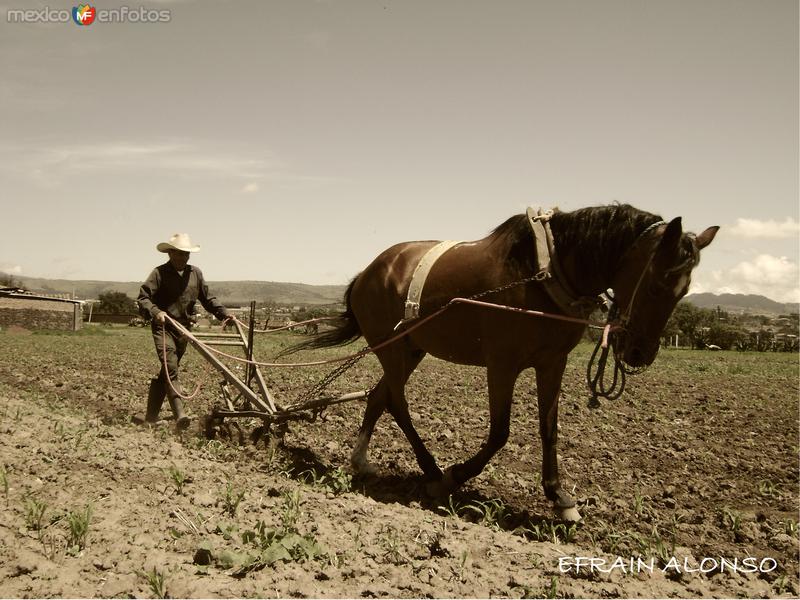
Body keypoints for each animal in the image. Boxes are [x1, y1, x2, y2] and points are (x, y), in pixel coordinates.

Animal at [288, 205, 720, 520]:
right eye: (658, 283)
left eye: (684, 290)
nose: (639, 353)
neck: (543, 273)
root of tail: (367, 272)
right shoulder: (502, 364)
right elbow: (499, 433)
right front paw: (451, 479)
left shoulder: (552, 363)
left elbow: (549, 429)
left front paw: (560, 497)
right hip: (390, 349)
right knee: (395, 401)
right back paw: (430, 468)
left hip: (409, 348)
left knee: (379, 397)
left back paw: (361, 460)